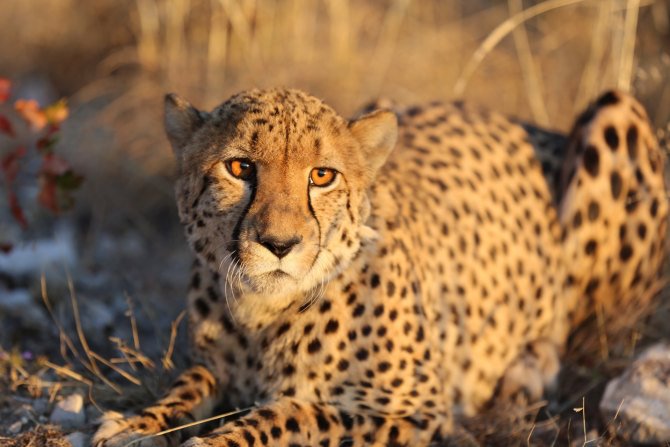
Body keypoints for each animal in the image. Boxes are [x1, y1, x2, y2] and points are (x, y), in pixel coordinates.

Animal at [93, 89, 668, 446]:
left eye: (321, 176)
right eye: (240, 167)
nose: (279, 245)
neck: (267, 312)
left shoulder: (417, 411)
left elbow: (296, 412)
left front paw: (218, 440)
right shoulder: (215, 367)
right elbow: (186, 386)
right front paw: (137, 424)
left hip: (614, 113)